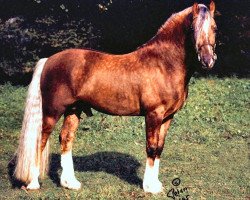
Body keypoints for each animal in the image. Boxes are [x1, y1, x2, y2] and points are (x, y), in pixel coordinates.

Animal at [14, 1, 217, 194]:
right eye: (193, 29)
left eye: (214, 28)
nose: (208, 60)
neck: (163, 64)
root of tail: (48, 60)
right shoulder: (153, 115)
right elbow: (151, 147)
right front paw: (149, 187)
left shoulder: (168, 117)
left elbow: (159, 148)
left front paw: (157, 184)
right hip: (52, 112)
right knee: (40, 141)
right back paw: (33, 184)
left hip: (73, 110)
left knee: (66, 138)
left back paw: (70, 183)